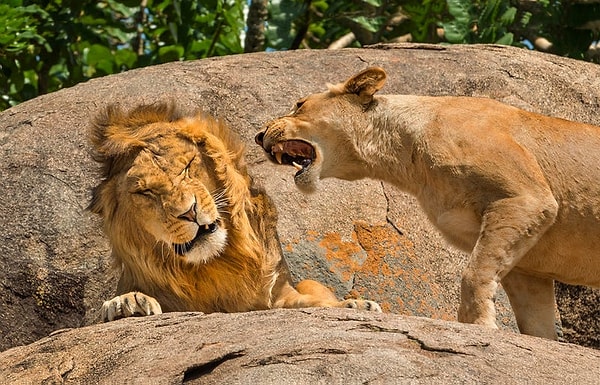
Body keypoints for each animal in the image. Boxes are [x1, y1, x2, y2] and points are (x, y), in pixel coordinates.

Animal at [89, 100, 380, 320]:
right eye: (145, 192)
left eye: (187, 166)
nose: (189, 212)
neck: (215, 264)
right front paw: (127, 303)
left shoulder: (278, 293)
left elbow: (309, 302)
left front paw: (354, 305)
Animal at [255, 67, 600, 340]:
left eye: (299, 105)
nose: (259, 135)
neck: (406, 156)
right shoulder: (528, 265)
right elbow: (535, 322)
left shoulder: (526, 198)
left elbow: (474, 274)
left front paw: (478, 327)